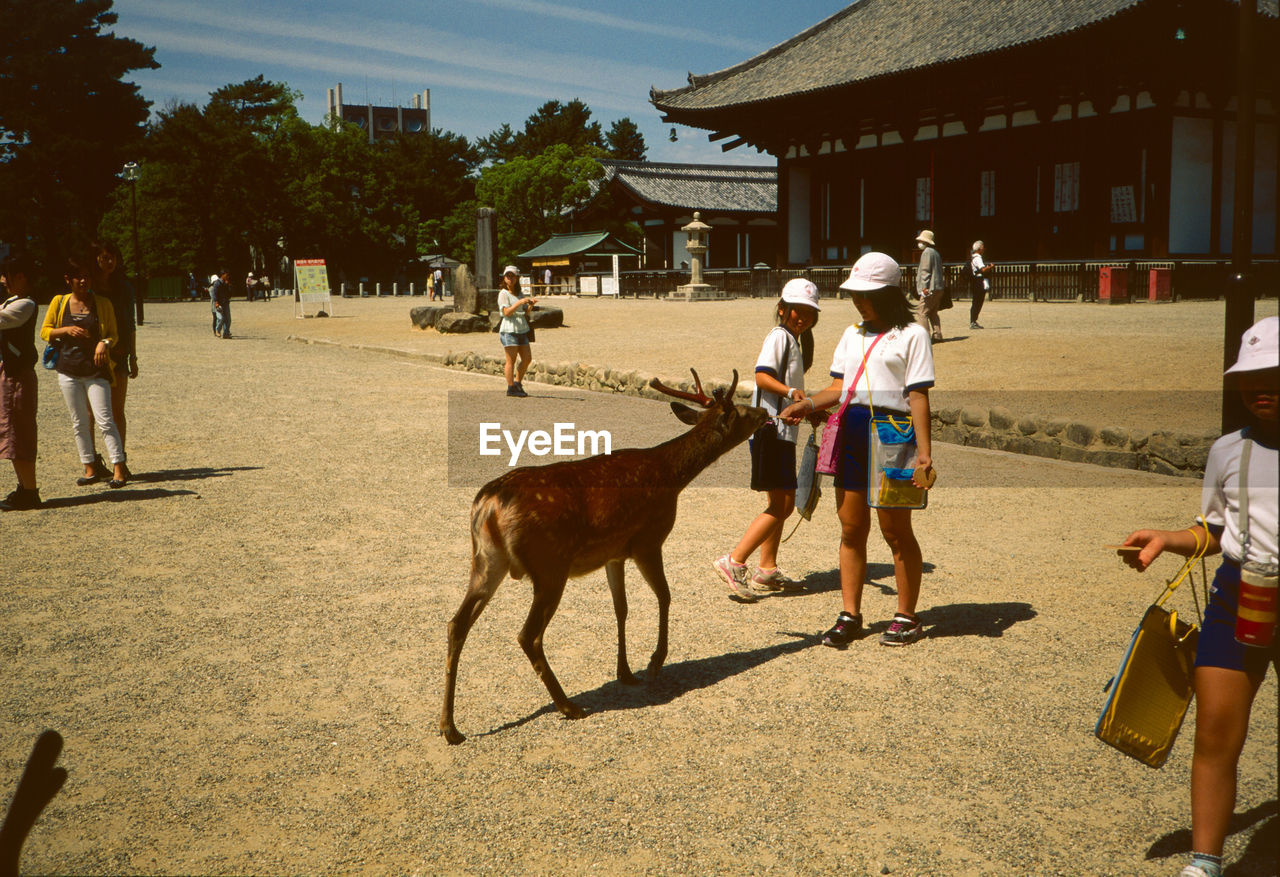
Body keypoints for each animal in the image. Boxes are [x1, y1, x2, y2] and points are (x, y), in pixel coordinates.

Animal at [442, 366, 757, 742]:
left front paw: (626, 672)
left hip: (486, 561)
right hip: (549, 565)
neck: (672, 478)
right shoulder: (649, 539)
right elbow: (665, 596)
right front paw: (654, 664)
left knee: (457, 624)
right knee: (528, 634)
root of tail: (488, 505)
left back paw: (450, 728)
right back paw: (568, 706)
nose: (766, 413)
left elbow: (621, 608)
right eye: (743, 411)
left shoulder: (614, 553)